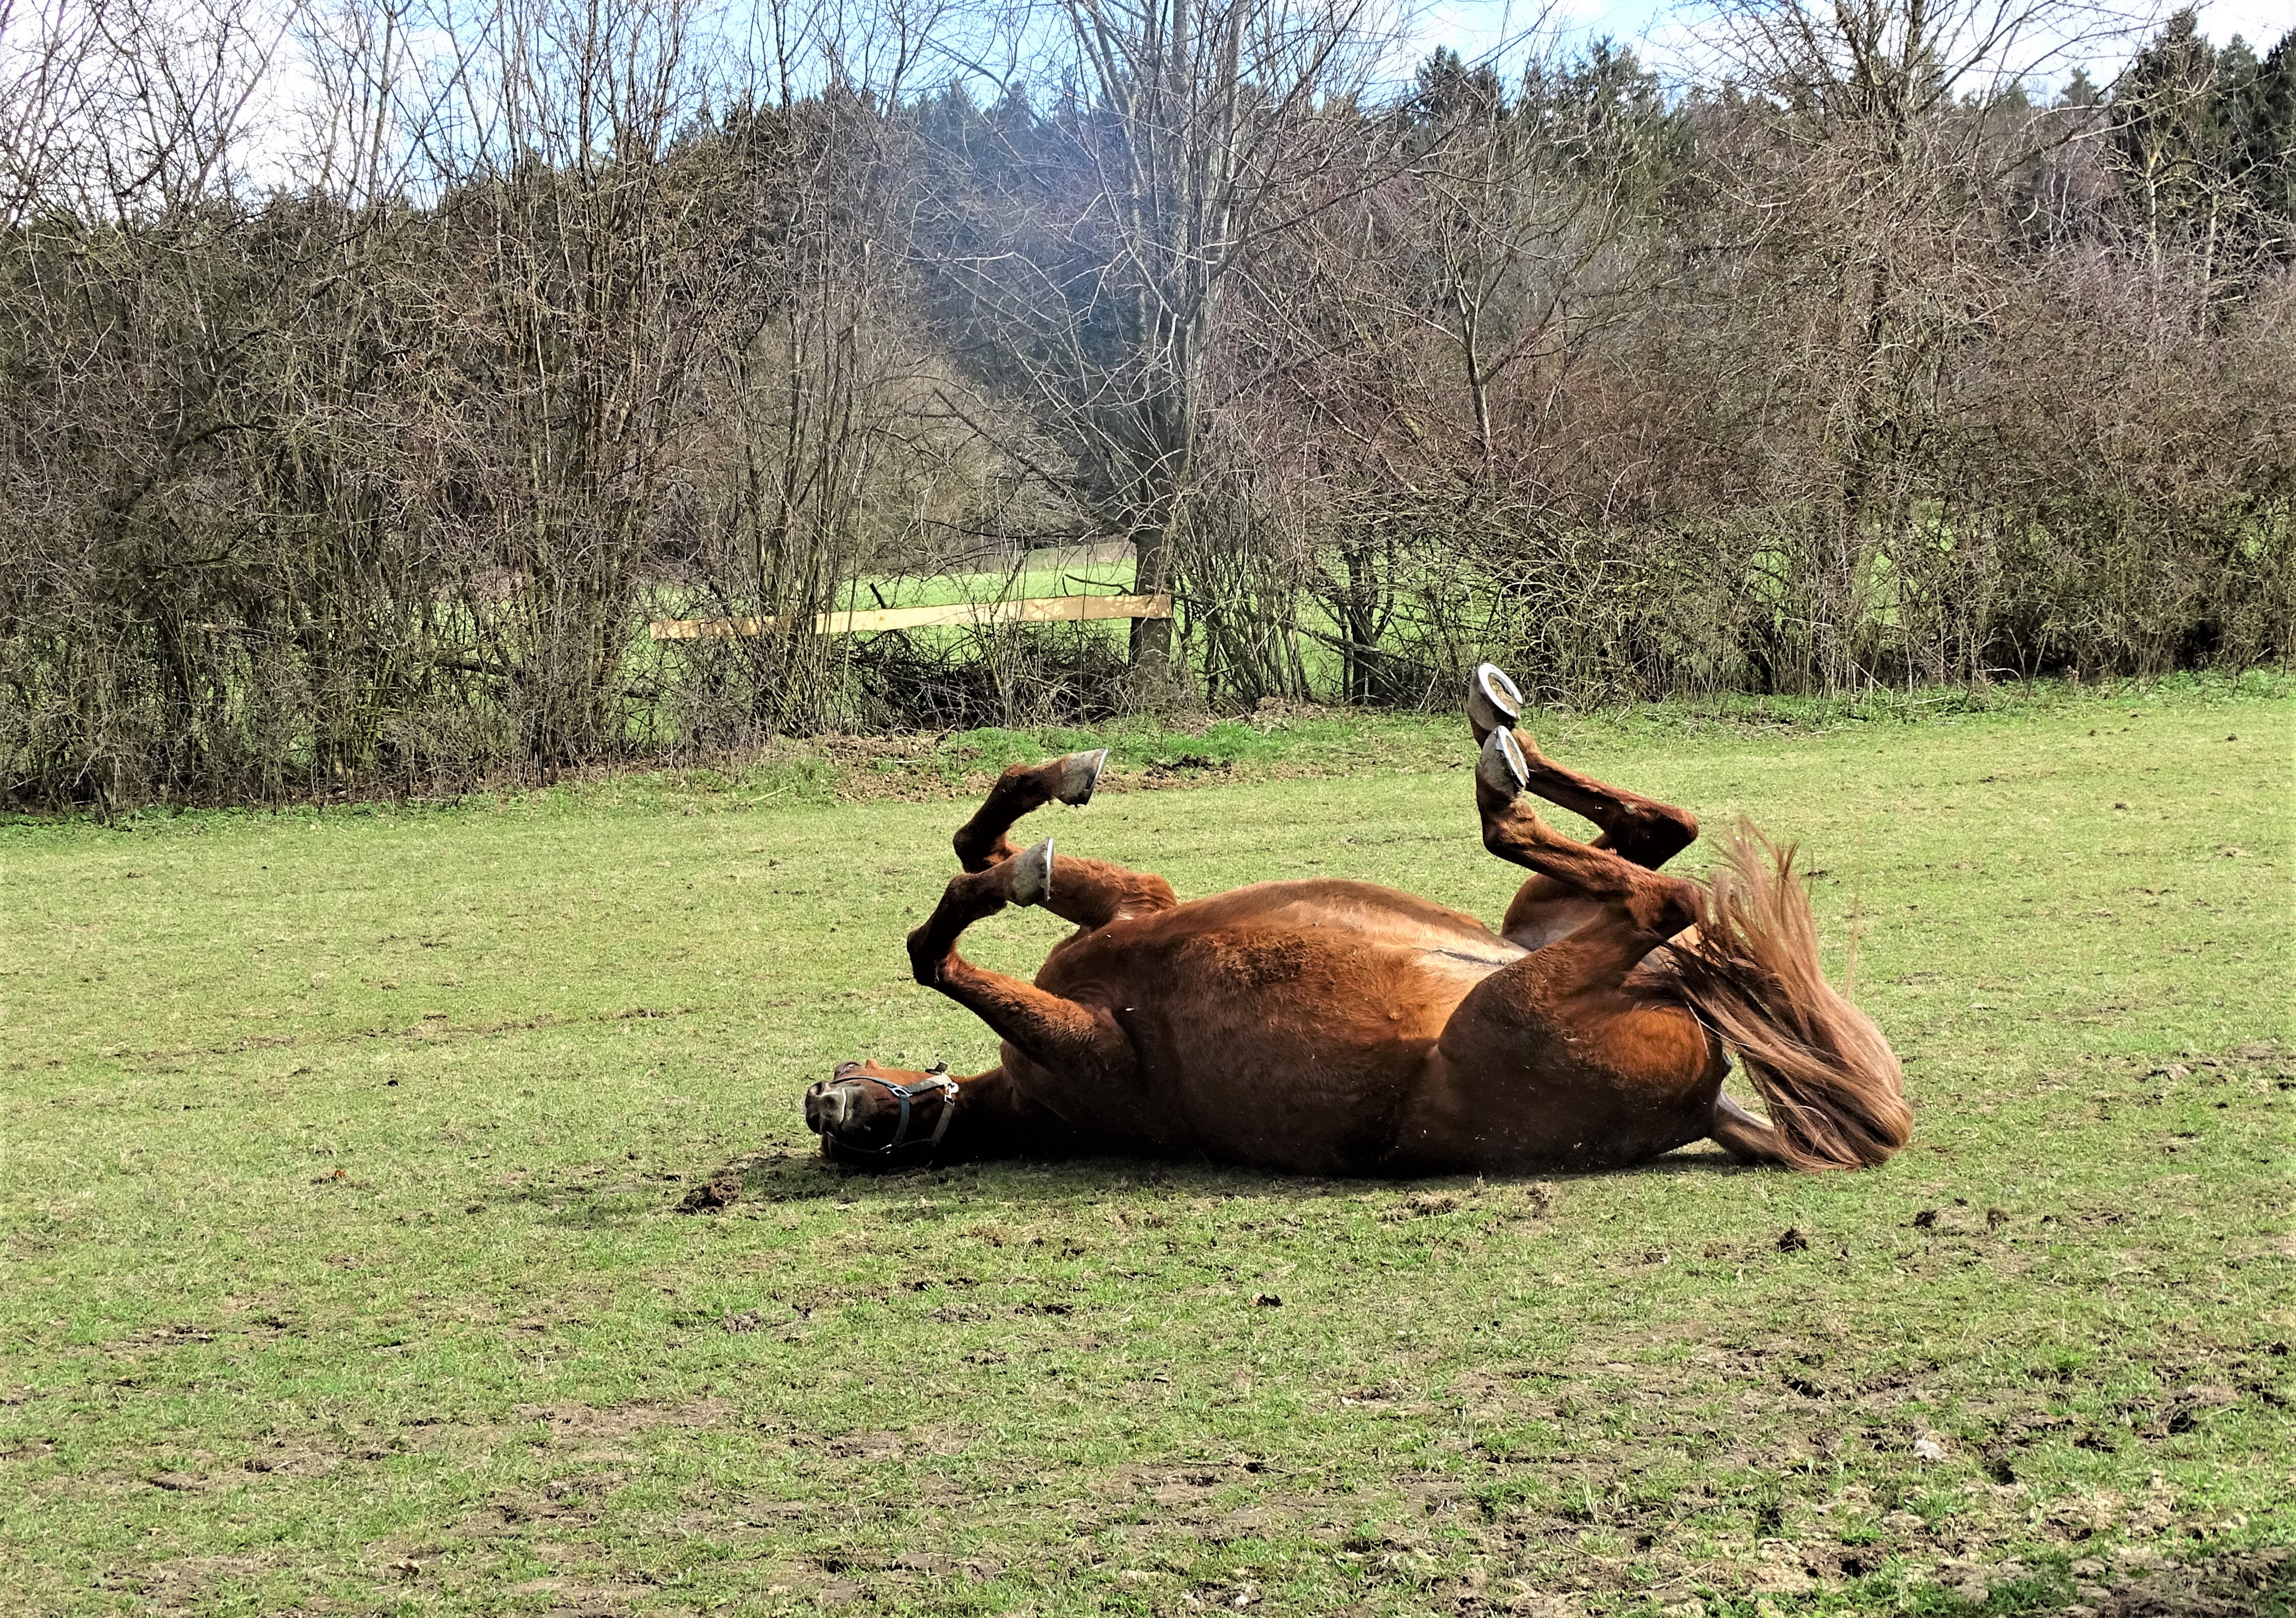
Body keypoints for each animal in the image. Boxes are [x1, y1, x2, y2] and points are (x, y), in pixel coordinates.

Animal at [802, 665, 1911, 1176]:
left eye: (845, 1076)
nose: (823, 1105)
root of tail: (1707, 1105)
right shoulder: (1093, 1045)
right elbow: (932, 949)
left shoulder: (1135, 906)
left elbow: (977, 853)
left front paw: (1053, 798)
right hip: (1525, 988)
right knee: (1659, 888)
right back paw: (1498, 768)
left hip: (1532, 926)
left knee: (1658, 838)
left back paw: (1496, 728)